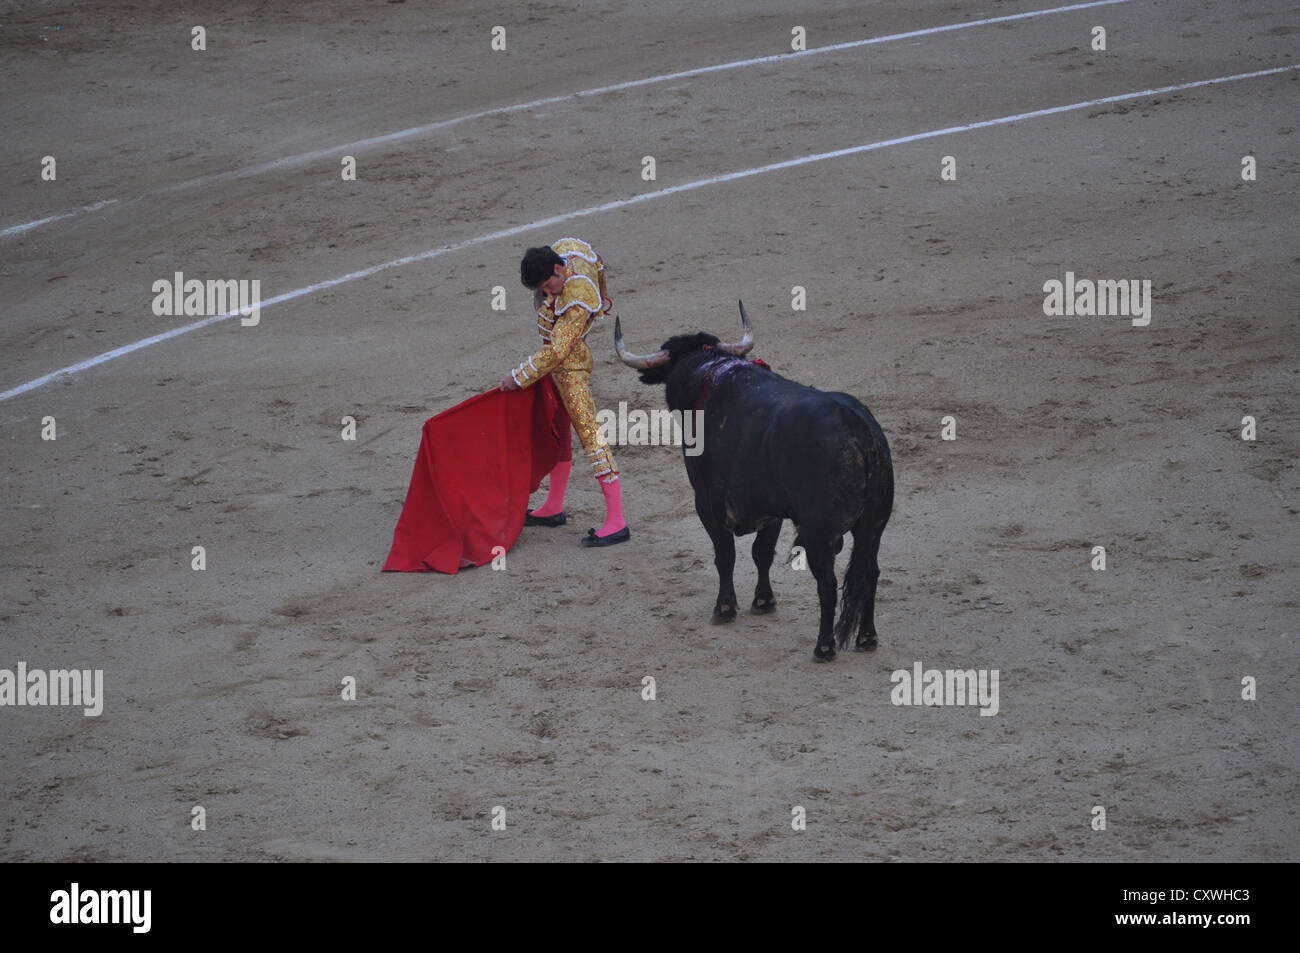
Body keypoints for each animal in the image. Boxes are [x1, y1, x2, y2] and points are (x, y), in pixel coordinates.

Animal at [616, 304, 894, 660]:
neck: (711, 372)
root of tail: (858, 427)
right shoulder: (771, 508)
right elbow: (762, 552)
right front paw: (763, 601)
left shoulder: (706, 500)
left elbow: (725, 554)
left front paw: (724, 608)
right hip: (873, 525)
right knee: (869, 574)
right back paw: (867, 638)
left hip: (819, 531)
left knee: (829, 584)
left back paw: (824, 646)